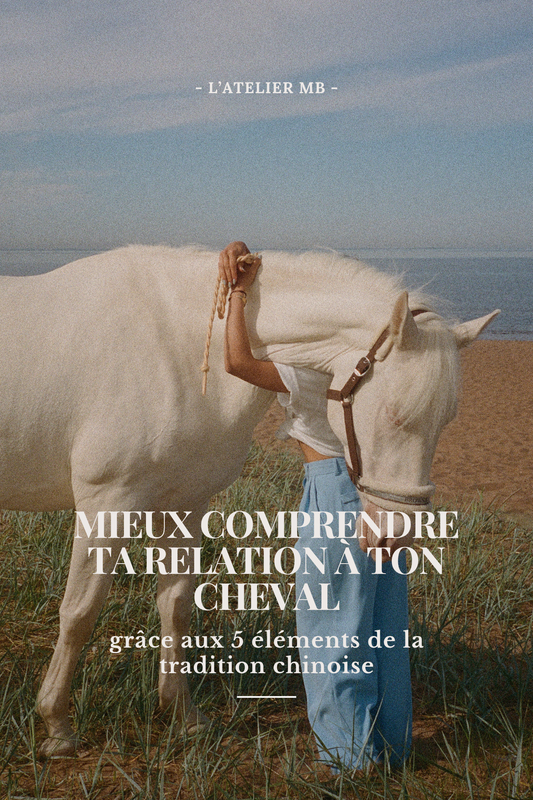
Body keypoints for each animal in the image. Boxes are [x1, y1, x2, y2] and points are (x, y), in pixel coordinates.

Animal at [0, 244, 498, 756]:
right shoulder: (107, 505)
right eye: (397, 415)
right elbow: (79, 614)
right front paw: (57, 725)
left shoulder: (186, 505)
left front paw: (183, 716)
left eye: (446, 421)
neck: (175, 347)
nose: (395, 535)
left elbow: (175, 608)